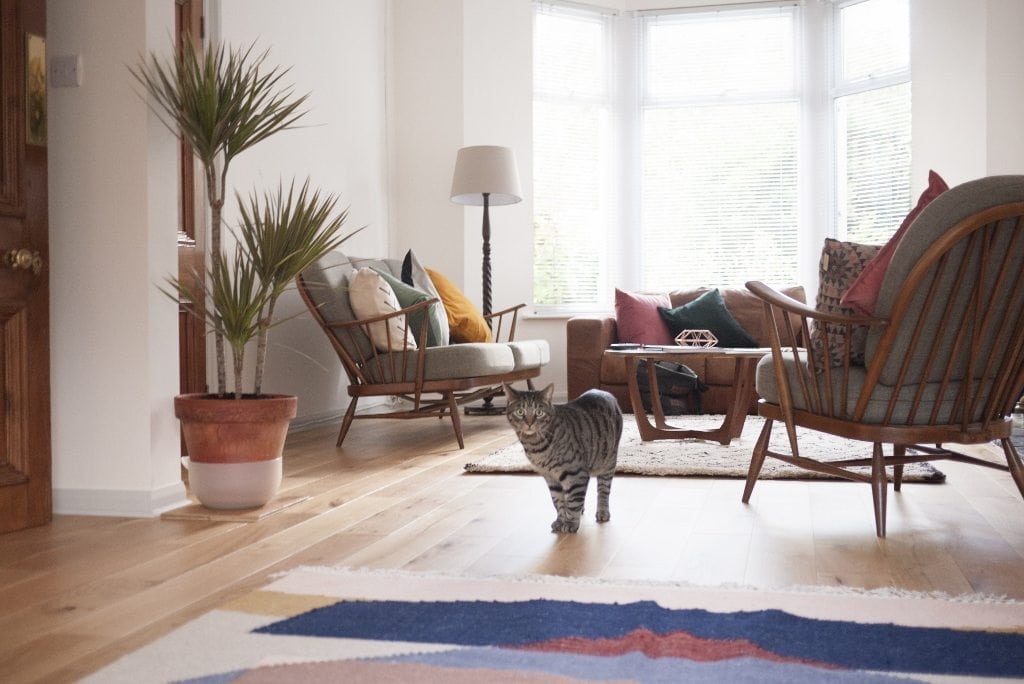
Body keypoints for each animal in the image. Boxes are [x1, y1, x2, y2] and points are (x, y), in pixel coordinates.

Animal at [503, 382, 622, 532]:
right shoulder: (550, 477)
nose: (529, 423)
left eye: (539, 413)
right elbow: (558, 501)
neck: (536, 446)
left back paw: (602, 511)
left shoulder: (575, 472)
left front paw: (571, 523)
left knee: (603, 491)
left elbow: (573, 502)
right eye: (520, 412)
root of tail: (605, 392)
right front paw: (561, 520)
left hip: (608, 462)